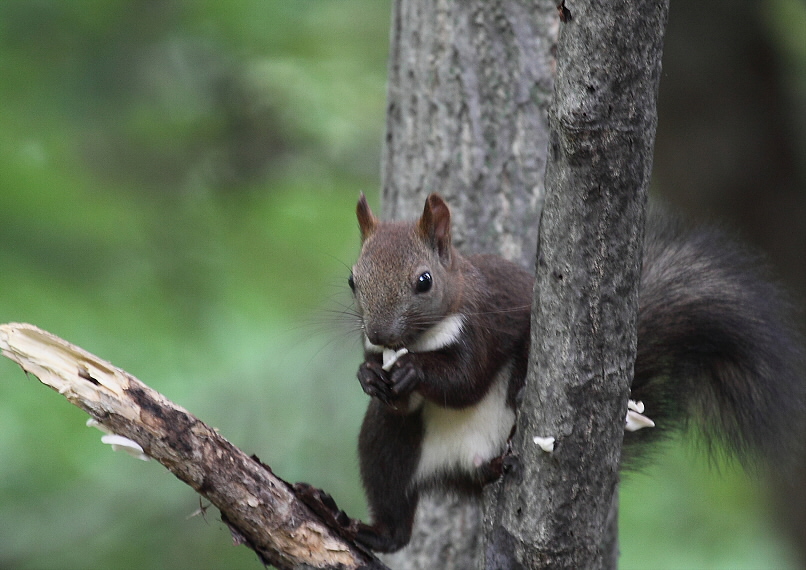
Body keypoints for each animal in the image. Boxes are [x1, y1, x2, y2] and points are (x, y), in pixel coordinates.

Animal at [298, 191, 806, 552]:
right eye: (352, 281)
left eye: (423, 281)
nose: (380, 333)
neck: (427, 336)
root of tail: (465, 463)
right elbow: (392, 394)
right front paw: (368, 378)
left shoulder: (485, 323)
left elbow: (465, 381)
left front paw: (413, 372)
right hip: (389, 443)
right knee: (396, 515)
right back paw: (357, 523)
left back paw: (505, 444)